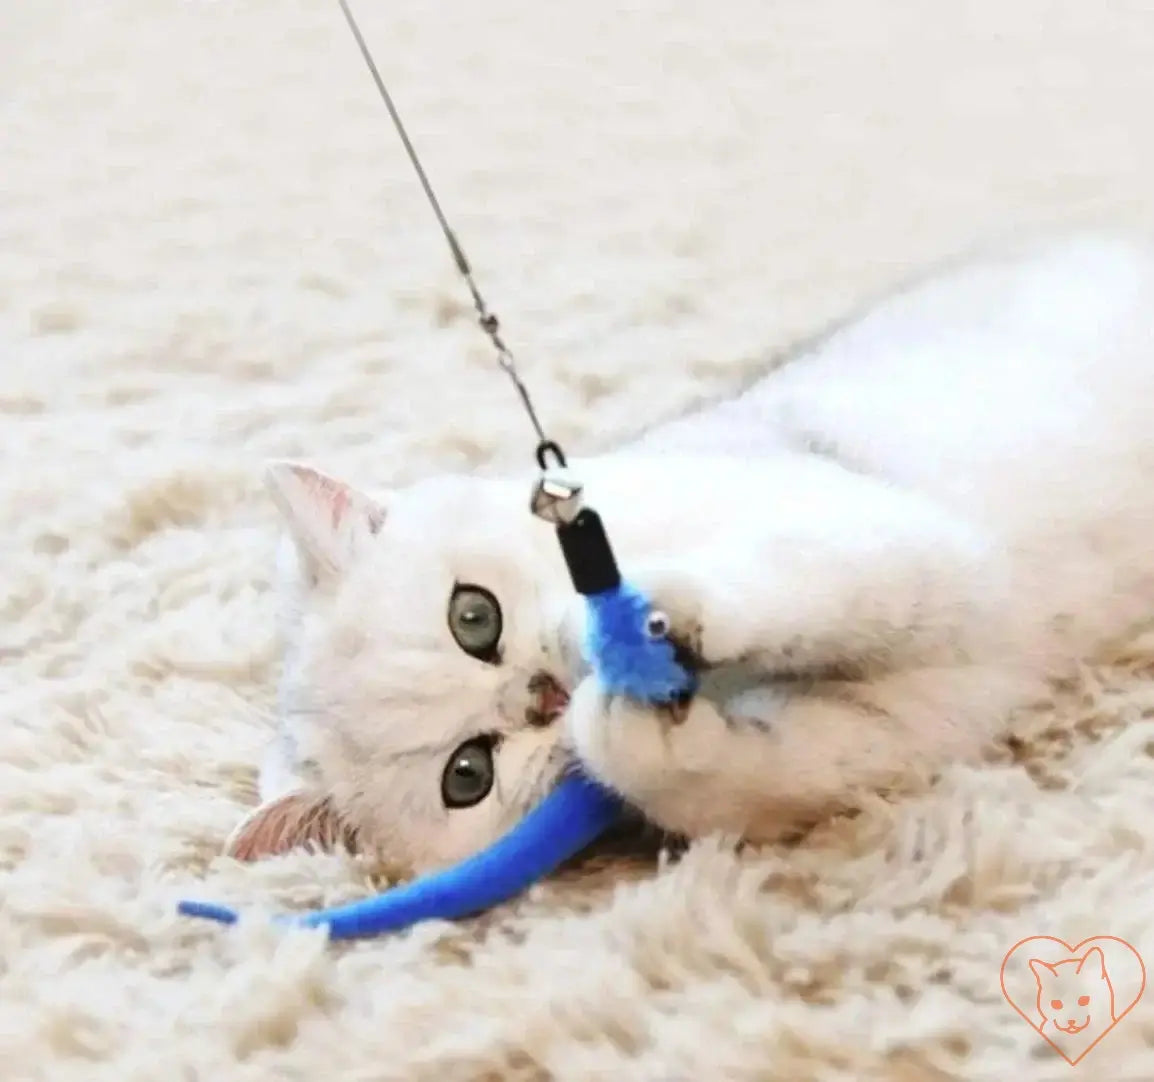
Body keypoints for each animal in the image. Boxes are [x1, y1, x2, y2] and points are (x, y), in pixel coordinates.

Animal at [225, 231, 1154, 872]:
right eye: (467, 774)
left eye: (473, 616)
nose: (542, 694)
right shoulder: (895, 726)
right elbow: (746, 777)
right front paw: (633, 728)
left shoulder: (874, 528)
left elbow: (796, 576)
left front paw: (644, 621)